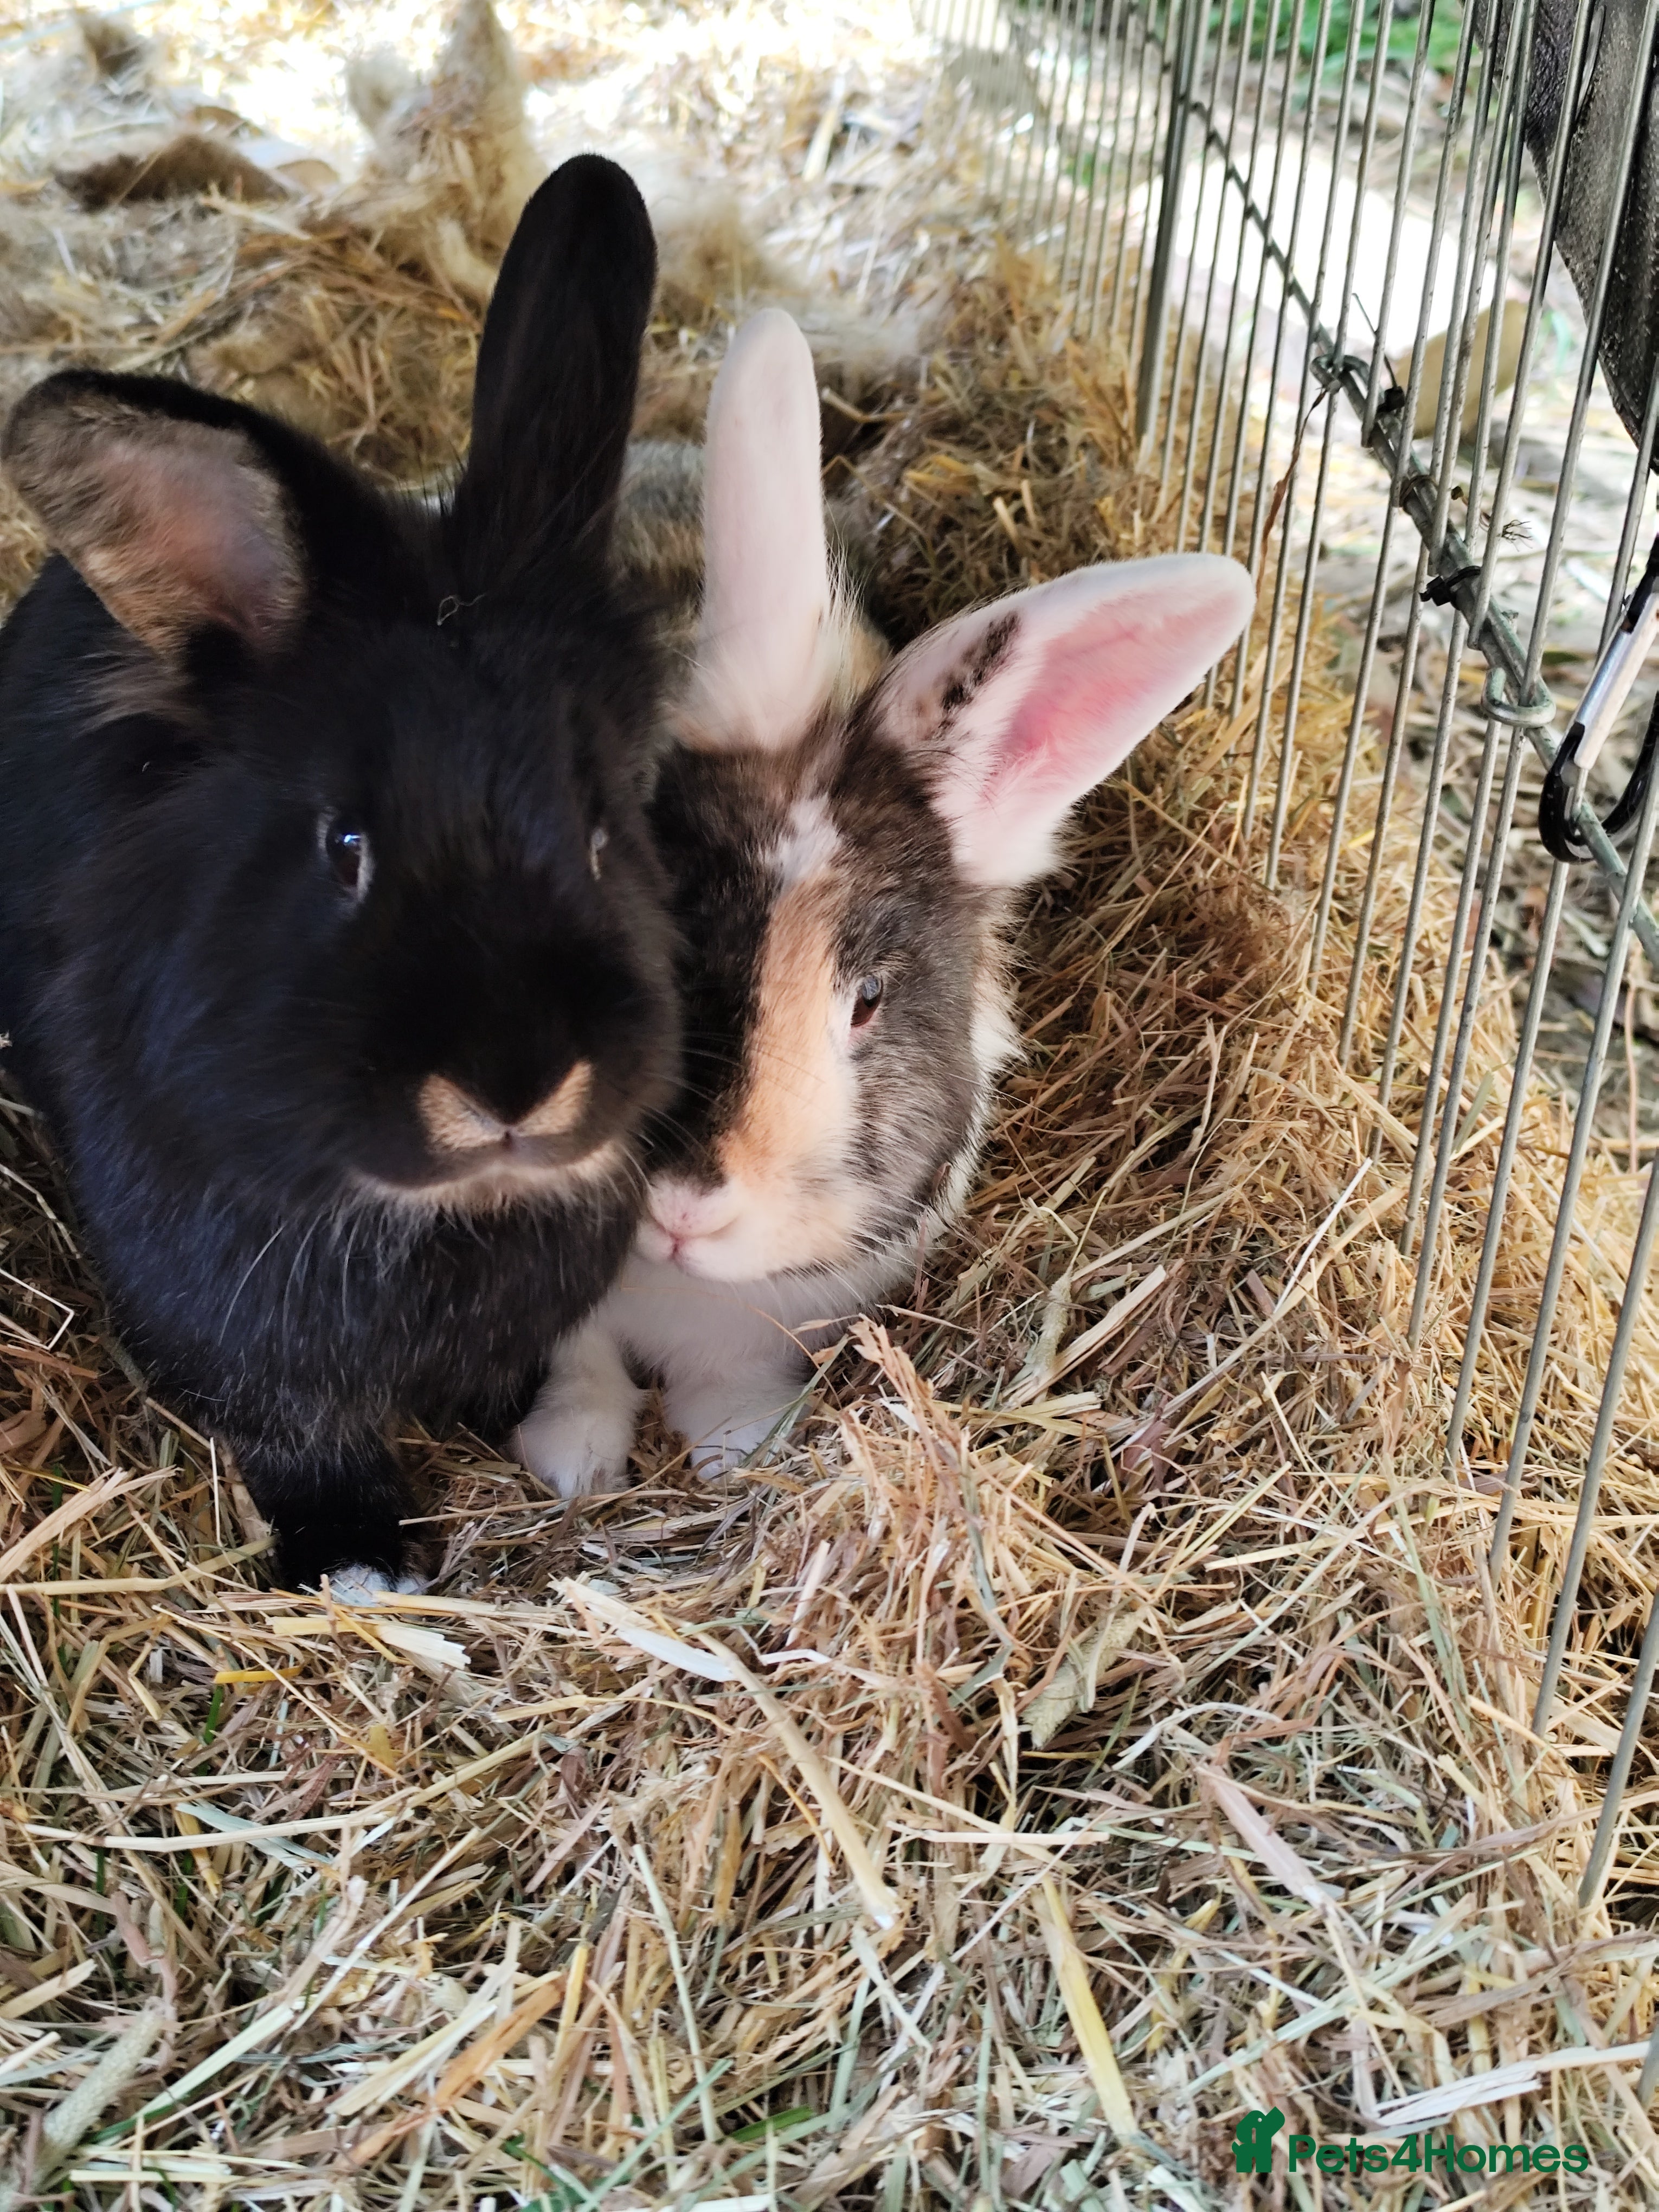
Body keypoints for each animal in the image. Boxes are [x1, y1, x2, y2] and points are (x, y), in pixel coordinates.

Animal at [0, 154, 681, 1598]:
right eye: (343, 848)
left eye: (608, 827)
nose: (517, 1084)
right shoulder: (226, 1321)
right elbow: (296, 1432)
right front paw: (361, 1556)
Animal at [514, 308, 1255, 1499]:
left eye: (865, 1001)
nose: (683, 1206)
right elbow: (577, 1358)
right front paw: (575, 1458)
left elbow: (728, 1375)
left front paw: (736, 1446)